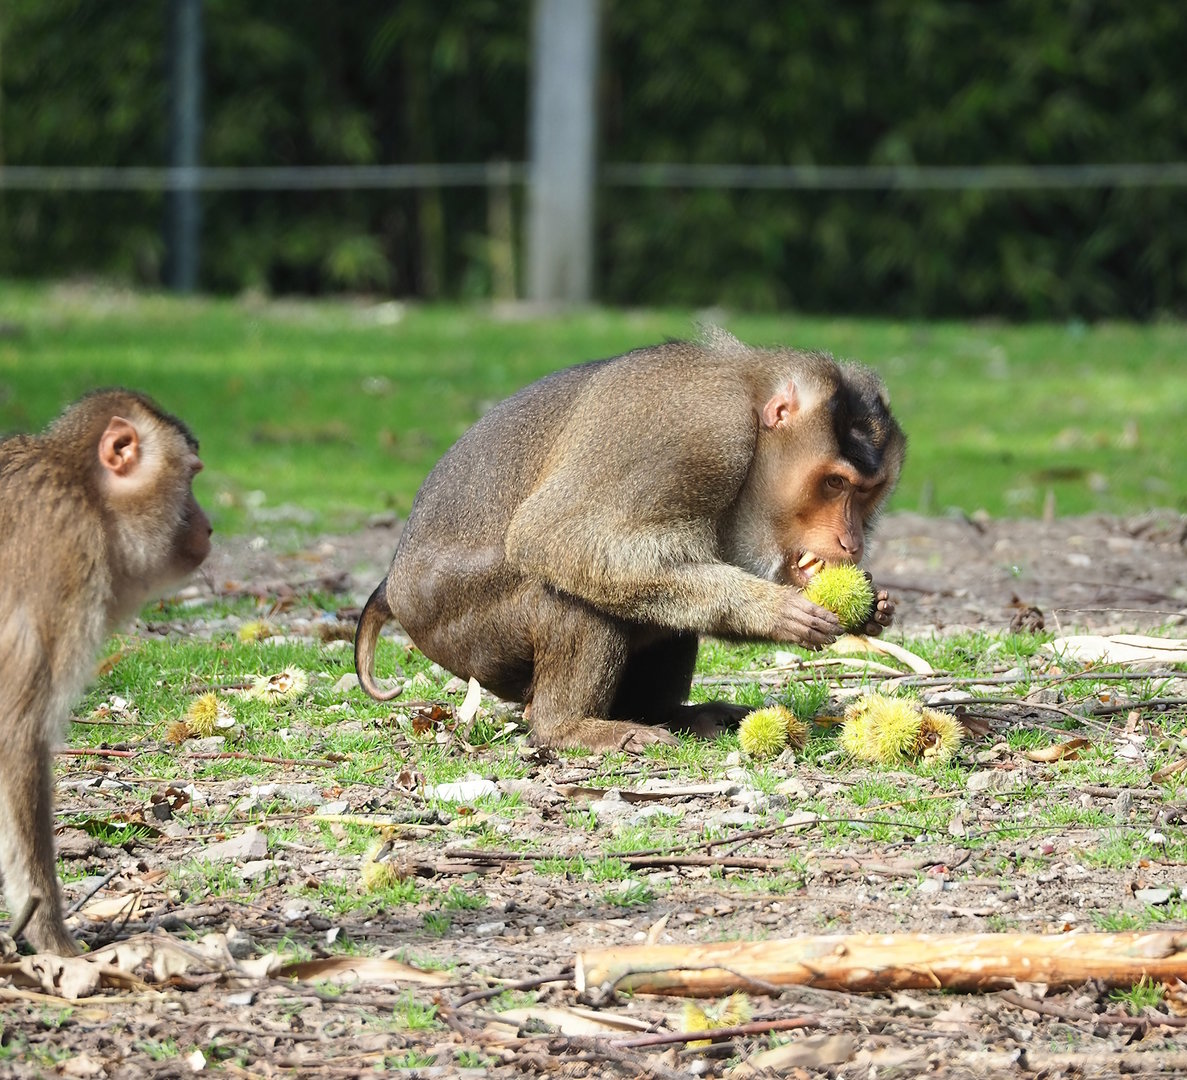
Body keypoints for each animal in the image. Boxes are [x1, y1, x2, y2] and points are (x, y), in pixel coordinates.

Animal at [0, 389, 211, 954]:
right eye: (191, 478)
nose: (209, 525)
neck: (80, 486)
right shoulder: (65, 553)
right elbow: (16, 735)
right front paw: (52, 937)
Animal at [355, 329, 904, 753]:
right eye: (834, 483)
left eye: (867, 492)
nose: (852, 541)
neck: (750, 406)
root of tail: (395, 587)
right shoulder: (699, 432)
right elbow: (553, 536)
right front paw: (771, 609)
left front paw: (874, 610)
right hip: (469, 633)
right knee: (566, 590)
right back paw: (568, 728)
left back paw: (669, 714)